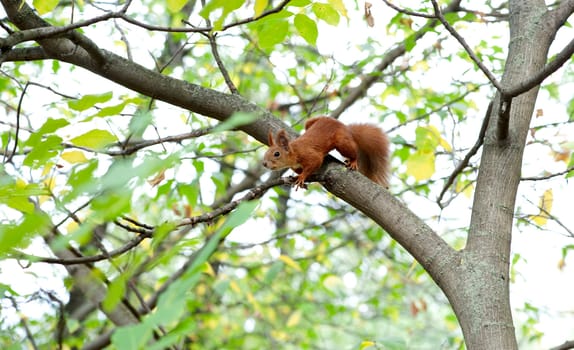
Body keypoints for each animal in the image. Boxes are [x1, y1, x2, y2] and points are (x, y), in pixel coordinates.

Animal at [262, 117, 392, 189]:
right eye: (265, 152)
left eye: (276, 154)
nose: (264, 164)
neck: (295, 151)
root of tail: (346, 128)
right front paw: (297, 176)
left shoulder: (310, 155)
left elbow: (313, 164)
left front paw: (302, 177)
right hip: (309, 123)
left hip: (341, 142)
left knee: (353, 149)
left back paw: (353, 161)